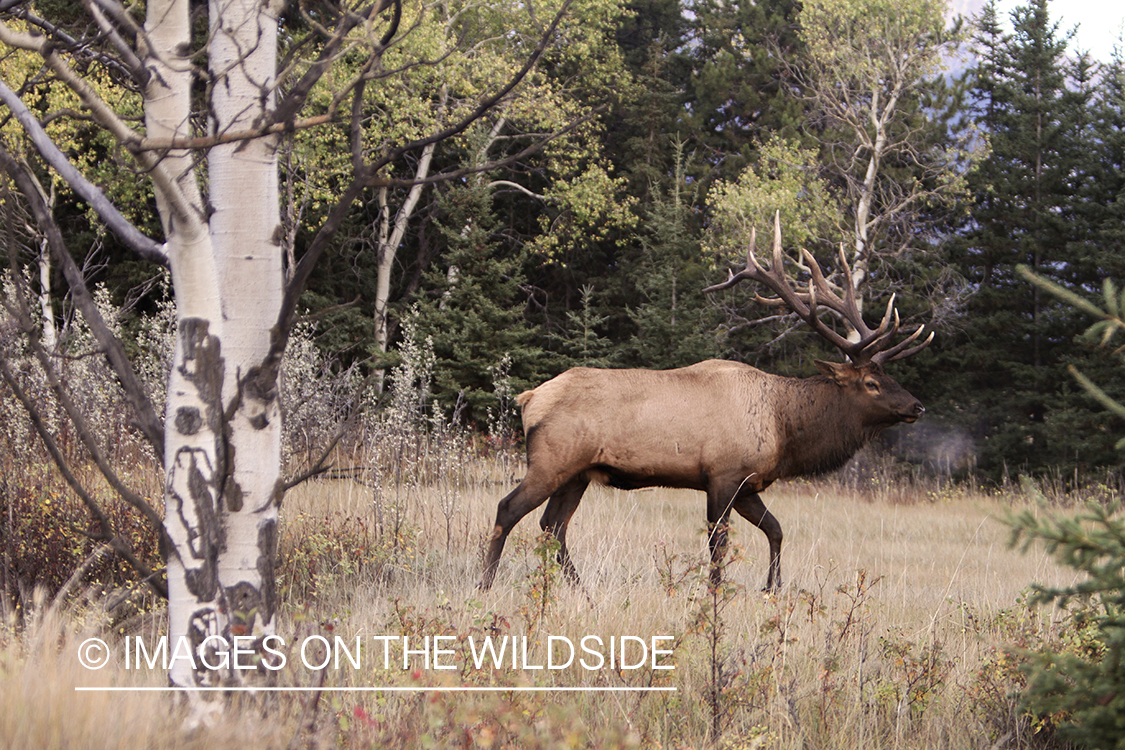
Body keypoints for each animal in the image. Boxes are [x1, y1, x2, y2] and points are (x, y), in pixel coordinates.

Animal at [481, 215, 931, 593]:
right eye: (872, 383)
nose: (917, 406)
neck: (785, 429)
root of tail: (528, 398)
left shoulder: (747, 483)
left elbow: (776, 529)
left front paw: (772, 588)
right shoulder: (722, 474)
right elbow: (719, 544)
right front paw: (715, 594)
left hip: (578, 472)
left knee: (552, 524)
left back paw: (580, 589)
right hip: (551, 461)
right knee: (508, 509)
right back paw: (485, 583)